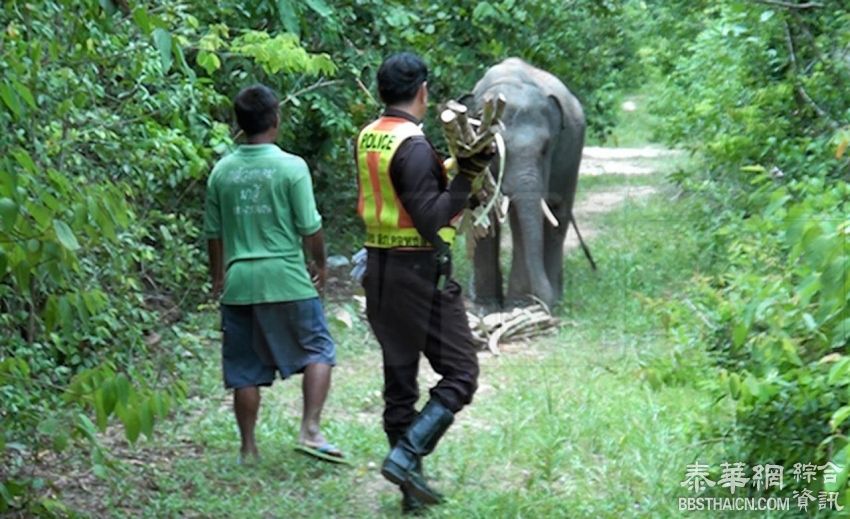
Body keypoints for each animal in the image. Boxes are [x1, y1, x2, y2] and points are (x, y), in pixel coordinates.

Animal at [464, 58, 584, 308]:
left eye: (546, 149)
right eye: (495, 150)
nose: (544, 302)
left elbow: (522, 220)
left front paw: (518, 306)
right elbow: (483, 214)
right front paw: (486, 308)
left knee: (559, 214)